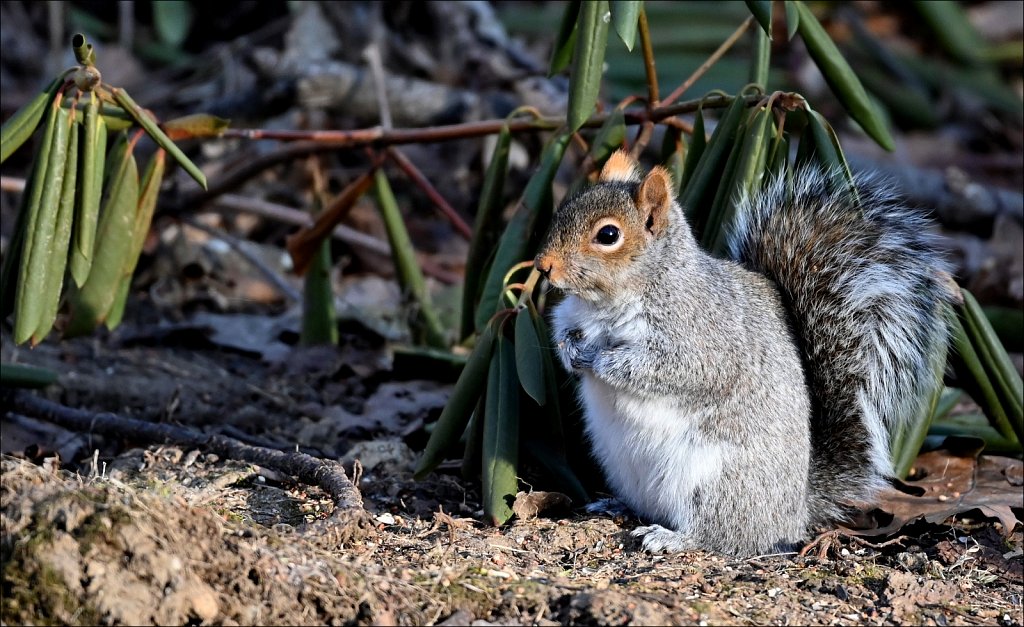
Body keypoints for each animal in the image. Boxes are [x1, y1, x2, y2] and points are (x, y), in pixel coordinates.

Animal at [536, 149, 950, 557]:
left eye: (608, 235)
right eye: (564, 209)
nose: (543, 266)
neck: (608, 302)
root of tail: (795, 513)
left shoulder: (700, 338)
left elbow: (672, 370)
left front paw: (600, 360)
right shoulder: (570, 315)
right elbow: (561, 332)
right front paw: (571, 352)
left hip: (715, 481)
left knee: (722, 534)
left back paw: (672, 538)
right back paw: (615, 504)